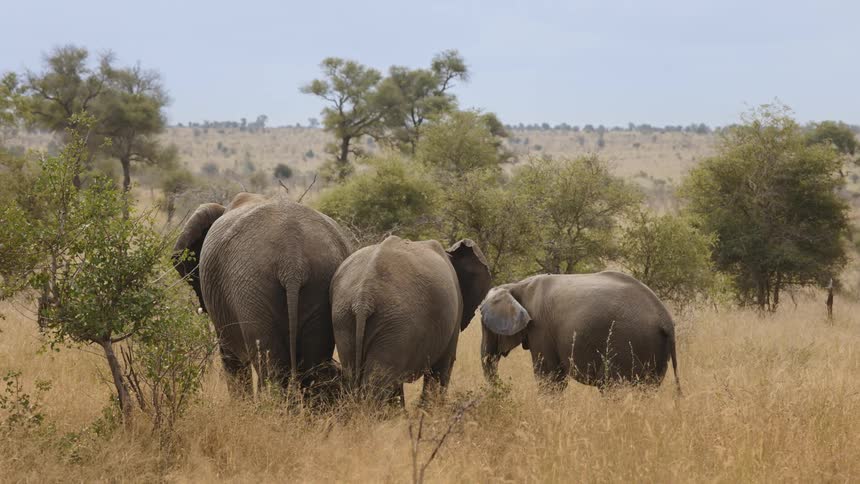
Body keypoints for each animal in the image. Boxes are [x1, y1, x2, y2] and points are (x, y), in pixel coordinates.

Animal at [173, 192, 352, 395]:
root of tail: (293, 261)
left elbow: (231, 358)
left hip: (251, 287)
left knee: (270, 368)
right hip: (319, 277)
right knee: (313, 366)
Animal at [330, 236, 491, 405]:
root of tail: (363, 298)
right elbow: (443, 366)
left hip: (344, 317)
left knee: (353, 374)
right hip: (396, 324)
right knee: (379, 381)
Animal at [479, 271, 680, 393]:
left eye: (484, 325)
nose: (508, 389)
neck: (516, 286)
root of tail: (666, 319)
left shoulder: (540, 329)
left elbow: (549, 378)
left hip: (625, 343)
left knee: (612, 387)